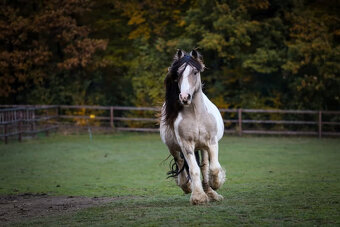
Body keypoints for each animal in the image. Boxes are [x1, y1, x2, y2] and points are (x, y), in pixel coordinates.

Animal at [159, 48, 226, 205]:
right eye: (177, 74)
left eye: (195, 72)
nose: (184, 97)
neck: (196, 114)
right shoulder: (186, 145)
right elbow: (193, 169)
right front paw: (198, 197)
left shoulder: (212, 142)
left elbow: (213, 168)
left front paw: (216, 183)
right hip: (173, 147)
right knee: (180, 163)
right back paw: (186, 185)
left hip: (203, 147)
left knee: (205, 166)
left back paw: (211, 193)